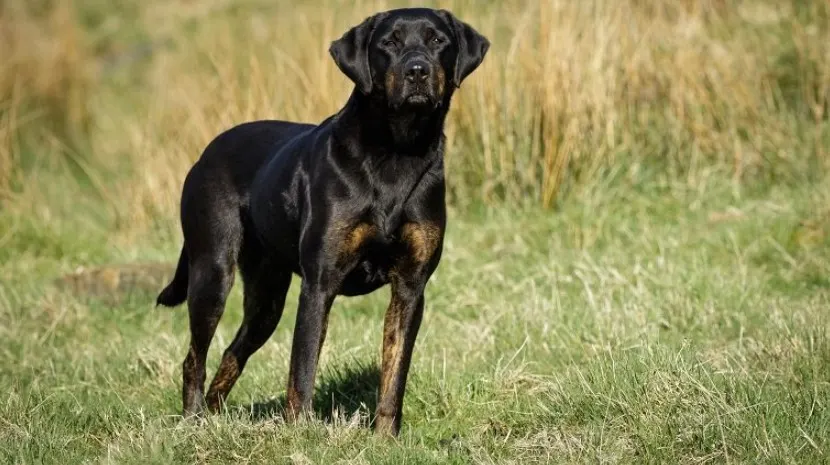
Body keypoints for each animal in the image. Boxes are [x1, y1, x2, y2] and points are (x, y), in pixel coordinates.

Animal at [158, 7, 488, 436]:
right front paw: (299, 432)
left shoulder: (411, 287)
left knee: (233, 351)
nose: (417, 70)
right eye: (389, 42)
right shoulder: (320, 282)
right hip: (212, 271)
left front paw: (385, 438)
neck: (397, 151)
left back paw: (214, 419)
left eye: (438, 41)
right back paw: (194, 421)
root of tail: (204, 153)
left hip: (266, 298)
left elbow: (394, 372)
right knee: (194, 357)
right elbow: (302, 368)